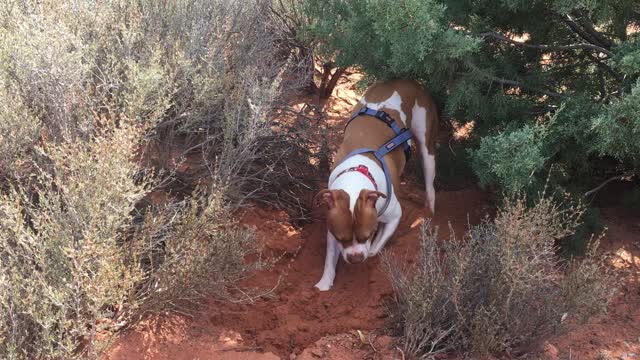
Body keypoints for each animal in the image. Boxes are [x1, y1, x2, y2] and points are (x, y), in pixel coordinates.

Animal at [316, 79, 440, 292]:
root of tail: (407, 80)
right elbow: (330, 257)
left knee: (430, 183)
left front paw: (375, 246)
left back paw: (429, 212)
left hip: (426, 146)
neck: (358, 172)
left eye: (367, 235)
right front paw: (324, 283)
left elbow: (375, 247)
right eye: (342, 238)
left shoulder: (395, 215)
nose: (355, 258)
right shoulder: (332, 225)